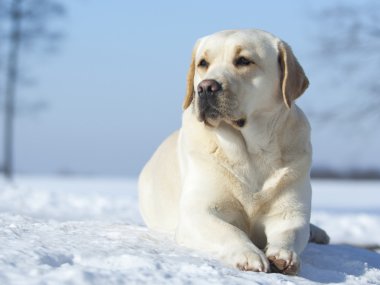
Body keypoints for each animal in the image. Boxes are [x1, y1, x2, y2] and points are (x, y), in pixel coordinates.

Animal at [138, 28, 328, 272]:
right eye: (203, 63)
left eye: (244, 61)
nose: (205, 87)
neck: (252, 152)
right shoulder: (197, 212)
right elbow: (230, 230)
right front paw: (249, 254)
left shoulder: (290, 212)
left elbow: (290, 232)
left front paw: (283, 254)